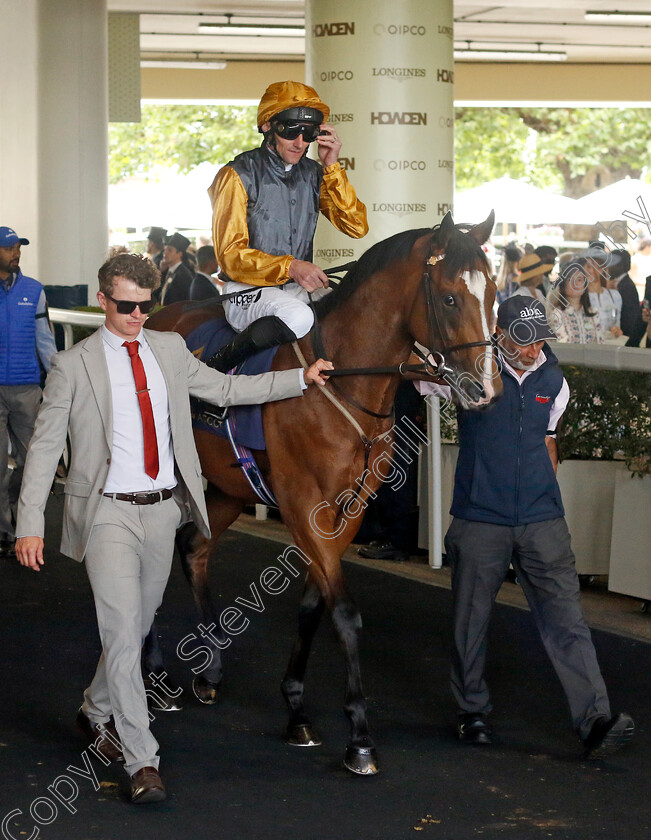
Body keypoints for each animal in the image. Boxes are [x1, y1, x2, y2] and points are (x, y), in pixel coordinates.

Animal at [146, 210, 500, 776]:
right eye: (449, 298)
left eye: (493, 294)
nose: (485, 390)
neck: (343, 382)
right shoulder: (301, 502)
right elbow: (346, 613)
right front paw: (359, 737)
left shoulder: (347, 509)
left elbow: (315, 604)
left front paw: (296, 708)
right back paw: (155, 673)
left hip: (229, 484)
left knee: (195, 548)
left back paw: (210, 672)